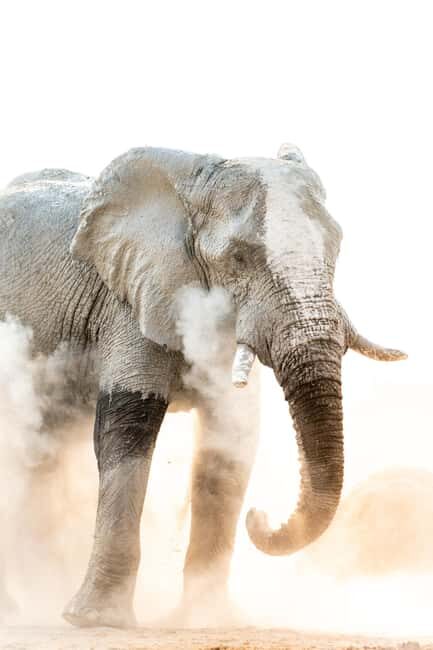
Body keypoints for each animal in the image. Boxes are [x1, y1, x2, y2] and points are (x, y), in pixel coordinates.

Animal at [0, 143, 406, 628]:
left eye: (338, 247)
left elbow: (230, 443)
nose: (260, 516)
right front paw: (97, 620)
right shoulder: (129, 297)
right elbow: (129, 427)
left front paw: (209, 617)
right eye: (239, 259)